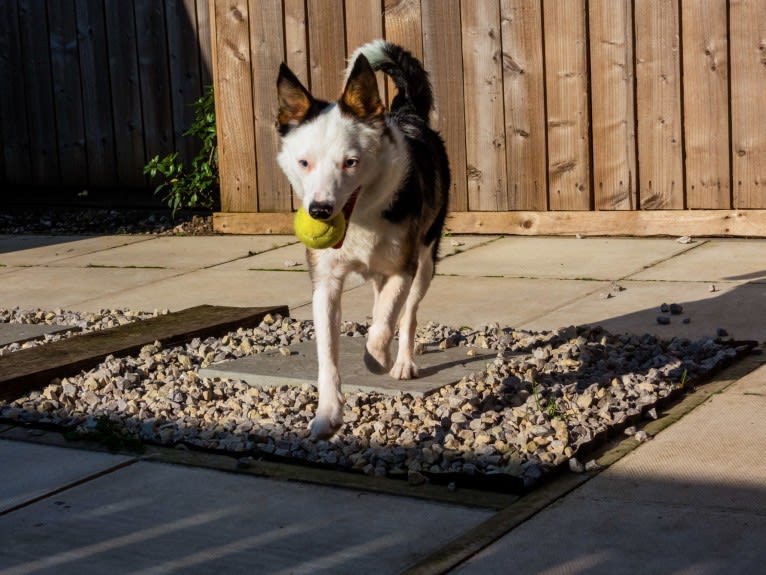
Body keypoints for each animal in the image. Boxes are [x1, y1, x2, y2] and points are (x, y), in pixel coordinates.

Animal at [276, 38, 450, 438]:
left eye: (350, 162)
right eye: (304, 163)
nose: (320, 211)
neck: (362, 219)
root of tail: (407, 112)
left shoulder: (403, 267)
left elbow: (384, 324)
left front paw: (377, 359)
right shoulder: (325, 283)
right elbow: (327, 355)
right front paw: (328, 413)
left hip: (426, 260)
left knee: (408, 313)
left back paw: (401, 362)